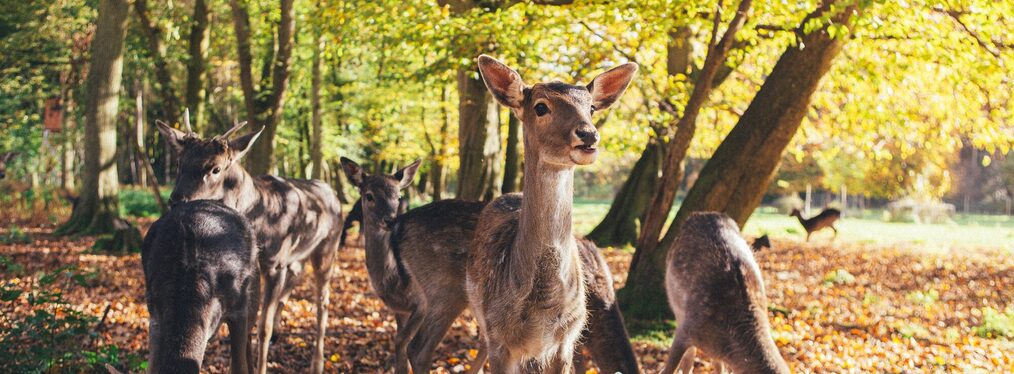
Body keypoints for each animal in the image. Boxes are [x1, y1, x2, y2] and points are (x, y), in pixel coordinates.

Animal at [155, 119, 344, 372]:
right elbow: (249, 323)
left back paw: (317, 363)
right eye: (179, 162)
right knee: (295, 278)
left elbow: (263, 327)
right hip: (297, 256)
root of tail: (334, 195)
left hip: (327, 247)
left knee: (322, 302)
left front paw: (262, 365)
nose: (176, 200)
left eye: (215, 168)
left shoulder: (276, 263)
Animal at [464, 53, 632, 370]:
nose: (588, 134)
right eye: (541, 107)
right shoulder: (499, 340)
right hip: (484, 325)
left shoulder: (566, 341)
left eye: (591, 107)